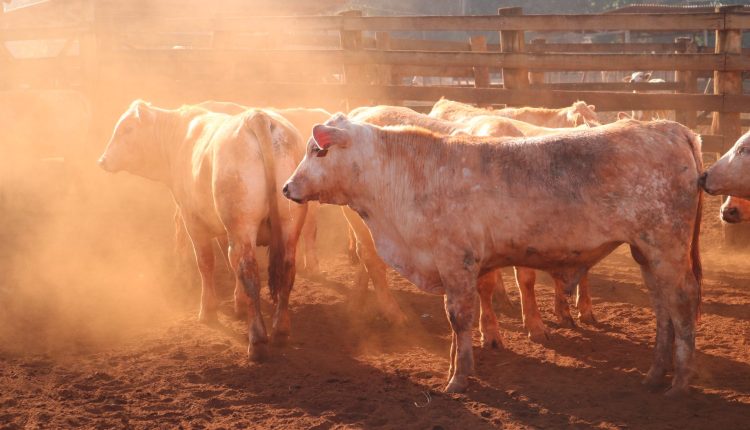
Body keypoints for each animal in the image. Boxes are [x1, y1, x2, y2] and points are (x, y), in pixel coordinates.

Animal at [100, 100, 308, 360]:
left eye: (127, 129)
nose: (103, 160)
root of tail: (257, 117)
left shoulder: (194, 222)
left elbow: (206, 263)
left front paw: (208, 310)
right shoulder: (223, 229)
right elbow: (228, 261)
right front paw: (239, 303)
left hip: (241, 224)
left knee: (248, 270)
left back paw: (257, 341)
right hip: (289, 224)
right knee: (286, 269)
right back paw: (280, 330)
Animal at [284, 115, 708, 396]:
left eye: (318, 151)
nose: (287, 187)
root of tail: (669, 127)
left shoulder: (456, 262)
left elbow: (459, 318)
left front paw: (459, 377)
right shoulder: (450, 267)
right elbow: (456, 319)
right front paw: (454, 365)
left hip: (666, 245)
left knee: (681, 302)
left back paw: (681, 381)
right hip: (647, 252)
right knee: (662, 308)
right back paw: (654, 375)